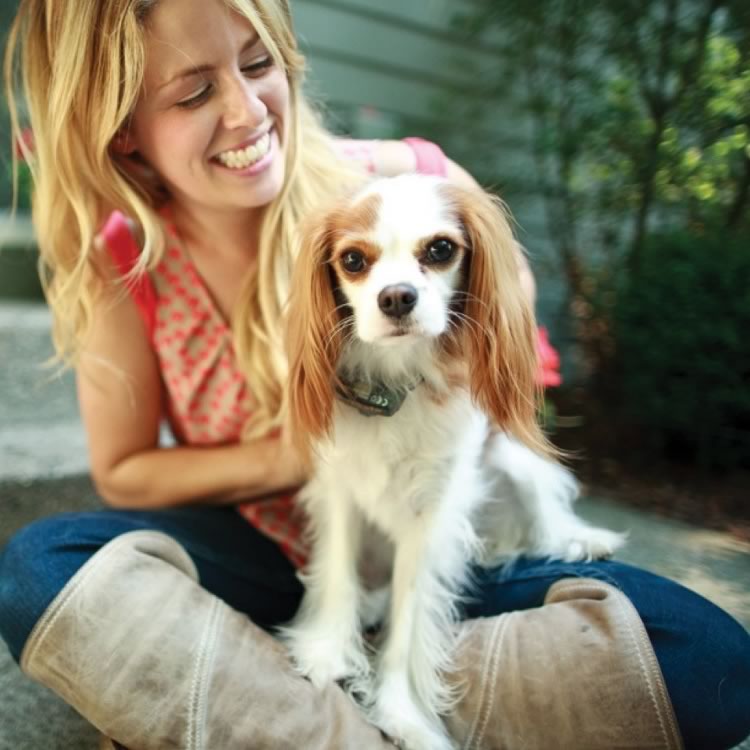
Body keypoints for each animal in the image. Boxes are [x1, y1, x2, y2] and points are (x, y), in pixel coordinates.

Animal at [280, 176, 624, 750]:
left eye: (440, 250)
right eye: (352, 260)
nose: (397, 296)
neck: (397, 384)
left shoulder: (433, 517)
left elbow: (410, 615)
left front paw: (403, 714)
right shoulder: (340, 493)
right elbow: (340, 575)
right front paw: (328, 654)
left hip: (512, 460)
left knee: (545, 512)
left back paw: (580, 538)